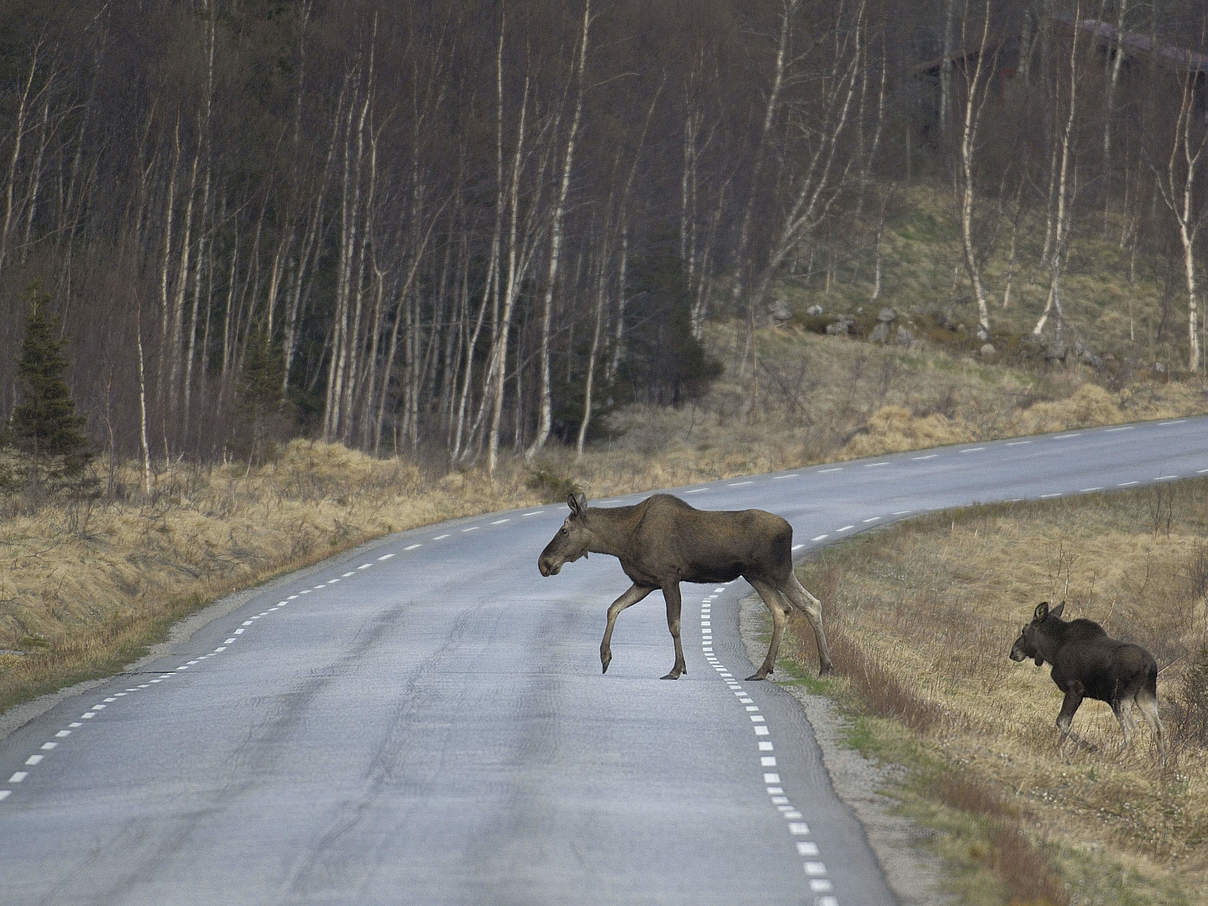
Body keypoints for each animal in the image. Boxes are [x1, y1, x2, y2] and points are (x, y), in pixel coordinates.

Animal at [538, 497, 831, 681]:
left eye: (564, 530)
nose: (544, 563)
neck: (621, 541)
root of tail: (790, 528)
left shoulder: (668, 577)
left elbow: (674, 624)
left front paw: (677, 669)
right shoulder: (645, 582)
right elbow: (613, 608)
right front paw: (605, 657)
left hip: (777, 571)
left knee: (810, 603)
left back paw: (825, 667)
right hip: (755, 576)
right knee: (783, 609)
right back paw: (764, 670)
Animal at [1009, 604, 1169, 758]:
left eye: (1024, 630)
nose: (1013, 652)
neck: (1053, 651)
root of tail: (1150, 666)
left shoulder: (1075, 689)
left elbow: (1061, 722)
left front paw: (1090, 747)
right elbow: (1065, 723)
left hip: (1118, 698)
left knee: (1132, 730)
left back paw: (1116, 757)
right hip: (1145, 695)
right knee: (1158, 729)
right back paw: (1161, 763)